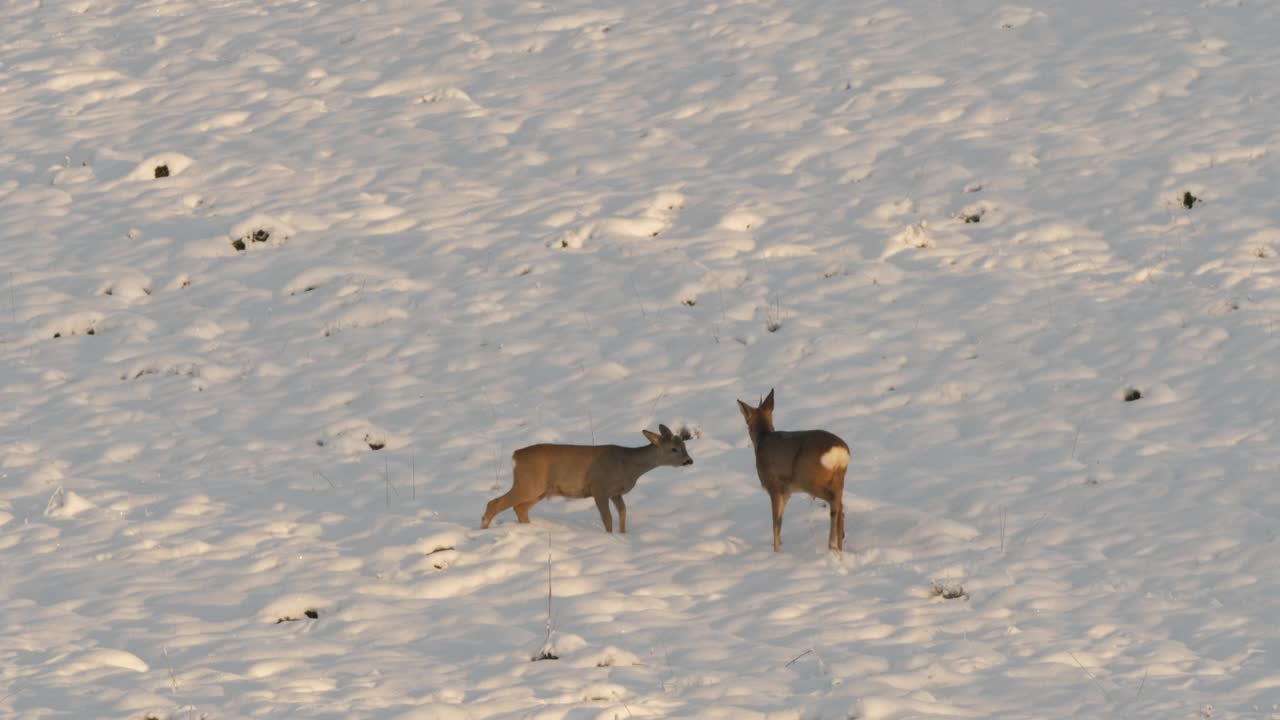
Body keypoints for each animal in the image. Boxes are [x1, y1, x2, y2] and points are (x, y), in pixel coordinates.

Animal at [481, 422, 696, 530]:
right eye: (674, 449)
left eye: (684, 445)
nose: (689, 460)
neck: (628, 465)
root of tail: (516, 455)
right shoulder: (599, 487)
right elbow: (607, 518)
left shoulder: (616, 492)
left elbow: (623, 513)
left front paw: (623, 535)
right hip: (529, 483)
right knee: (495, 503)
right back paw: (484, 528)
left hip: (540, 489)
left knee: (520, 508)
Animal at [742, 386, 849, 548]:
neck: (763, 438)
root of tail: (839, 453)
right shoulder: (787, 491)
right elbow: (780, 521)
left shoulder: (774, 486)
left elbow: (776, 523)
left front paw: (777, 550)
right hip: (838, 477)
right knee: (840, 506)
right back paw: (839, 544)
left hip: (808, 479)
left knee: (834, 502)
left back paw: (831, 544)